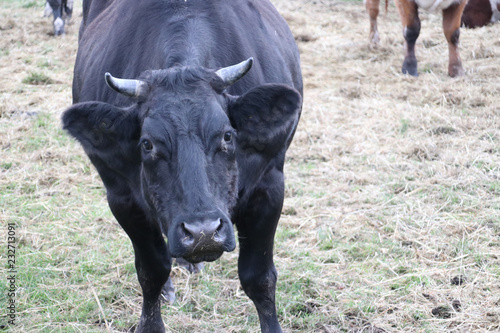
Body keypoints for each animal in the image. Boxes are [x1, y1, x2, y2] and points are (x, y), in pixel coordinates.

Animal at [60, 0, 302, 330]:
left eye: (228, 135)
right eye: (147, 144)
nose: (203, 232)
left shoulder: (269, 185)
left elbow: (259, 278)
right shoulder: (122, 196)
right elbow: (151, 272)